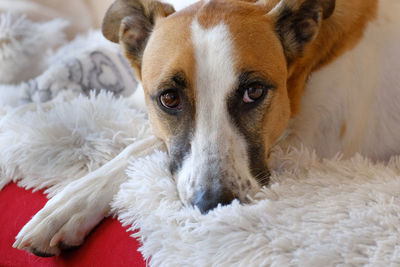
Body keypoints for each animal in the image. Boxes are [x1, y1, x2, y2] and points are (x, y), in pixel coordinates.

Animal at [12, 0, 400, 258]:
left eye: (254, 91)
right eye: (169, 98)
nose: (214, 203)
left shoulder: (307, 143)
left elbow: (140, 147)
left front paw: (69, 204)